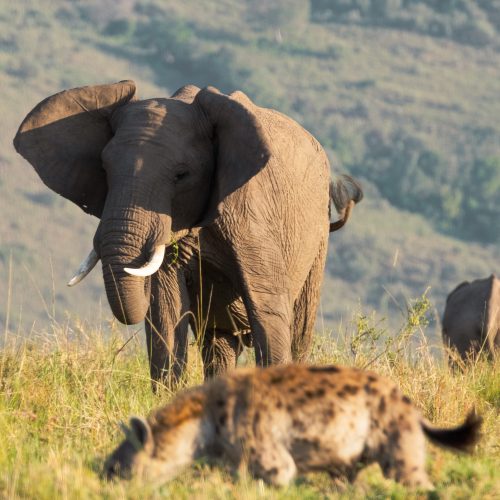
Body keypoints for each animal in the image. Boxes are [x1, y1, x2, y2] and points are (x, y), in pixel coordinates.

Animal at [13, 81, 362, 386]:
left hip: (317, 237)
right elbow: (166, 313)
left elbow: (267, 310)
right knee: (218, 346)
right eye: (104, 170)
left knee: (299, 331)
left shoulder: (253, 214)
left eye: (182, 175)